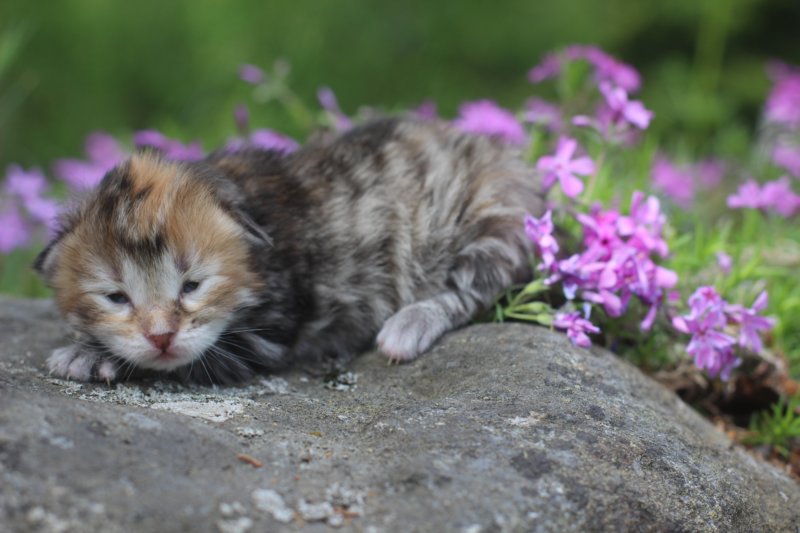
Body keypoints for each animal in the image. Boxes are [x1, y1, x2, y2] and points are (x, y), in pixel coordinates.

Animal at [35, 117, 544, 384]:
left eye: (192, 286)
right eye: (116, 297)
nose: (161, 337)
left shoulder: (270, 332)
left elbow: (195, 361)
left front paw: (88, 356)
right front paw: (88, 345)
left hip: (497, 220)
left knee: (472, 292)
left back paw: (409, 325)